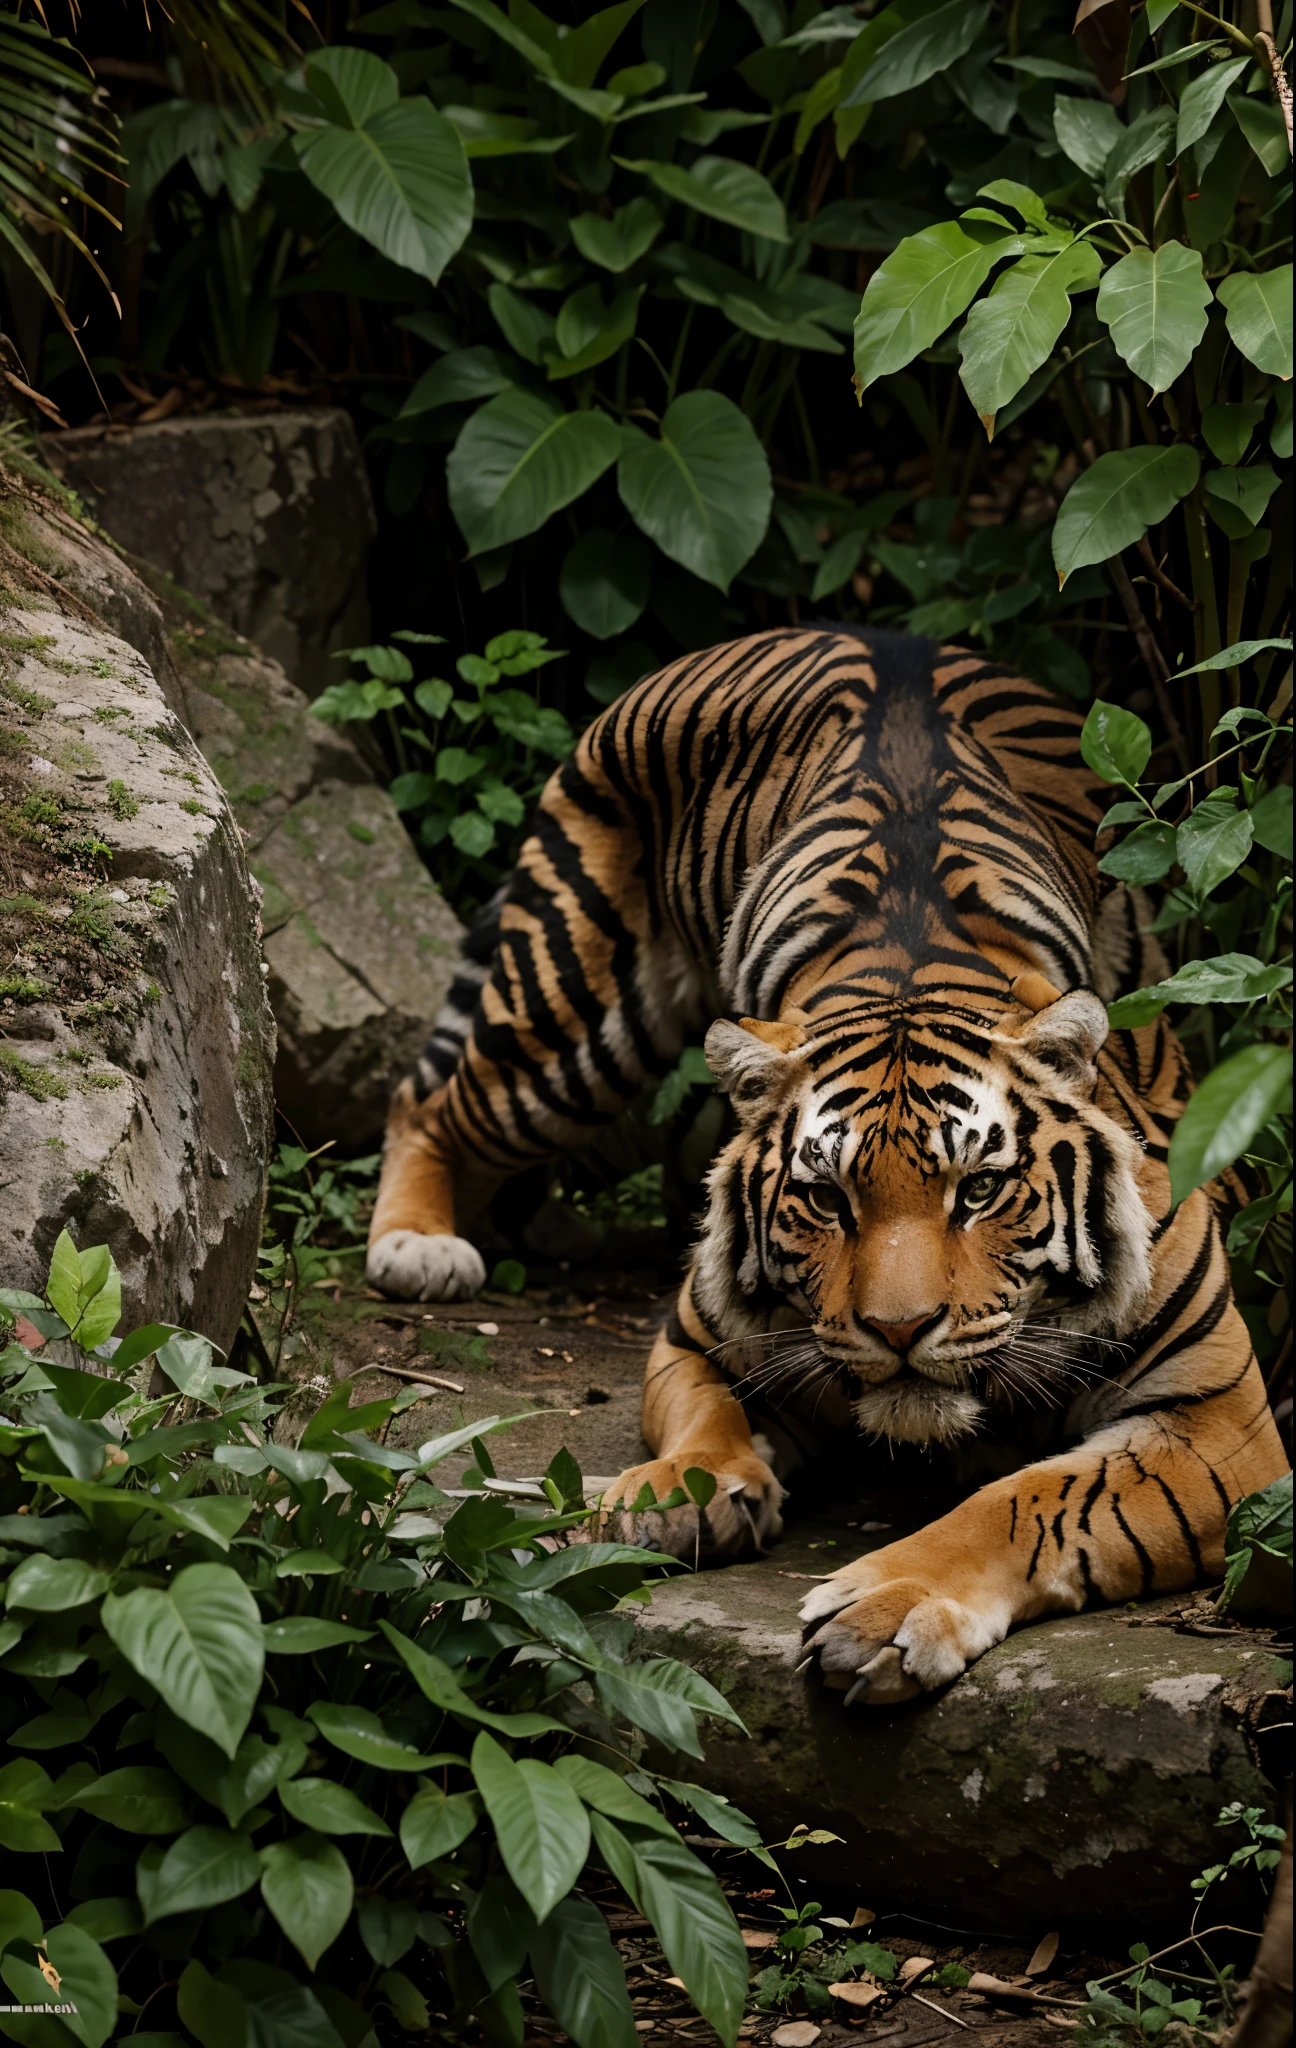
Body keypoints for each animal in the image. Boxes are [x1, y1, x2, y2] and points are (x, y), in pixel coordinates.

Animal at [364, 630, 1285, 1703]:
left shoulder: (1214, 1426)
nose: (900, 1330)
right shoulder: (695, 1336)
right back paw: (419, 1243)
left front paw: (888, 1609)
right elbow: (703, 1411)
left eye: (979, 1189)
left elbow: (1030, 1501)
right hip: (567, 1015)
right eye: (825, 1197)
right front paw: (673, 1491)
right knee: (426, 1098)